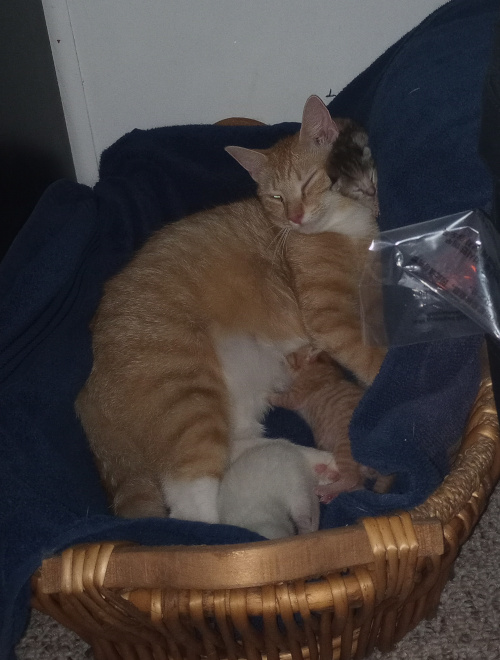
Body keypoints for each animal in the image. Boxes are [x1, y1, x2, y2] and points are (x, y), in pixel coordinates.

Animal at [75, 95, 386, 524]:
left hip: (235, 397)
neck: (343, 226)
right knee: (191, 496)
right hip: (186, 392)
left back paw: (317, 462)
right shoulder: (330, 317)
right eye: (276, 197)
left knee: (238, 449)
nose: (295, 217)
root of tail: (90, 386)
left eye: (307, 182)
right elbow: (369, 355)